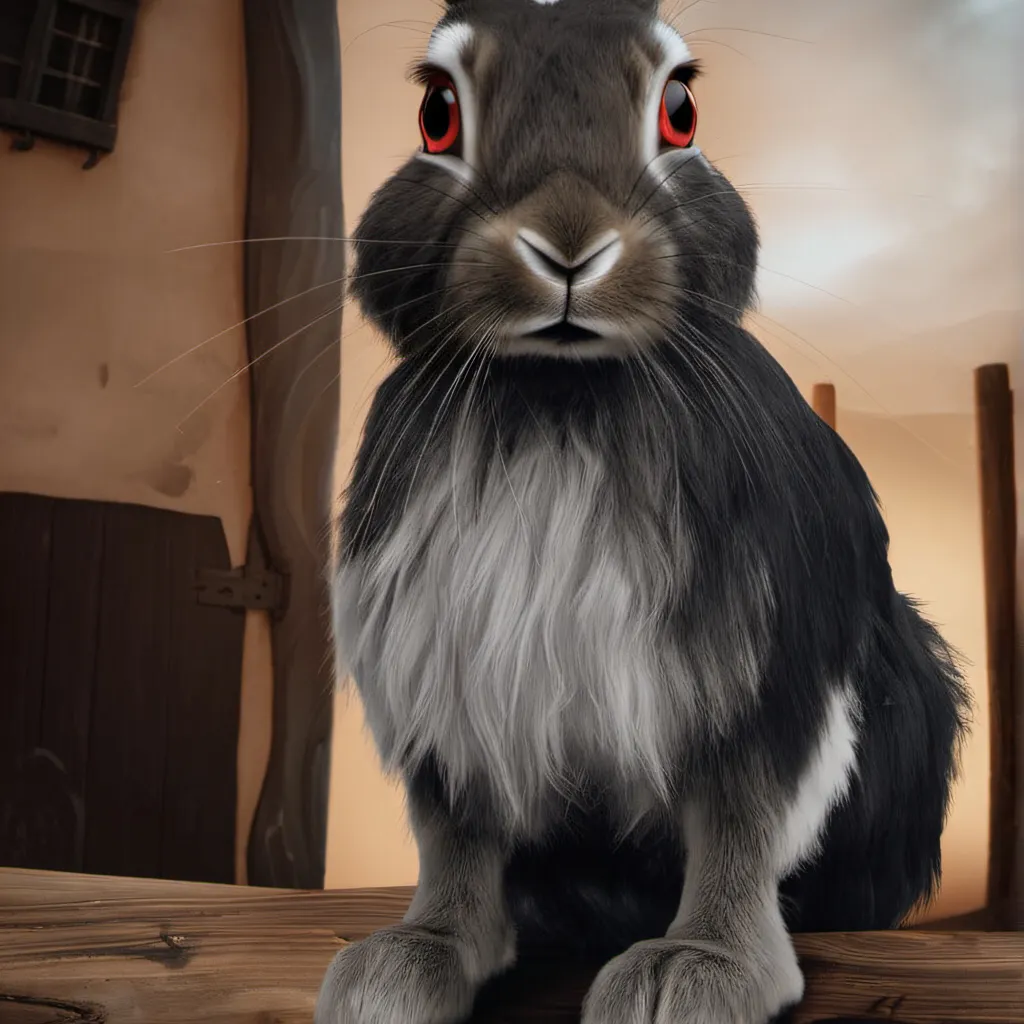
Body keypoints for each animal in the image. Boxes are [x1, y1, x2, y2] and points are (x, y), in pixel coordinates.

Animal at [316, 1, 970, 1022]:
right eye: (436, 116)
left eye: (681, 113)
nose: (568, 245)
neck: (560, 396)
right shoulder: (448, 694)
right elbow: (456, 839)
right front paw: (410, 959)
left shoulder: (766, 681)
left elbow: (742, 820)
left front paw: (699, 970)